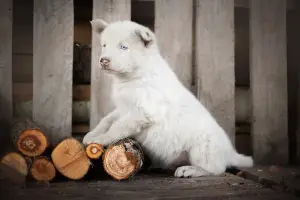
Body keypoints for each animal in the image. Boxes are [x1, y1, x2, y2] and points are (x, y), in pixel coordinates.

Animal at [82, 18, 253, 177]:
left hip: (203, 147)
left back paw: (190, 170)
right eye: (104, 45)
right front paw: (91, 135)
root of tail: (230, 153)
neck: (135, 75)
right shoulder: (123, 108)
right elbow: (107, 120)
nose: (103, 61)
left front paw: (100, 139)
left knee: (215, 169)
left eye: (123, 47)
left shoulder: (142, 112)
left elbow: (117, 127)